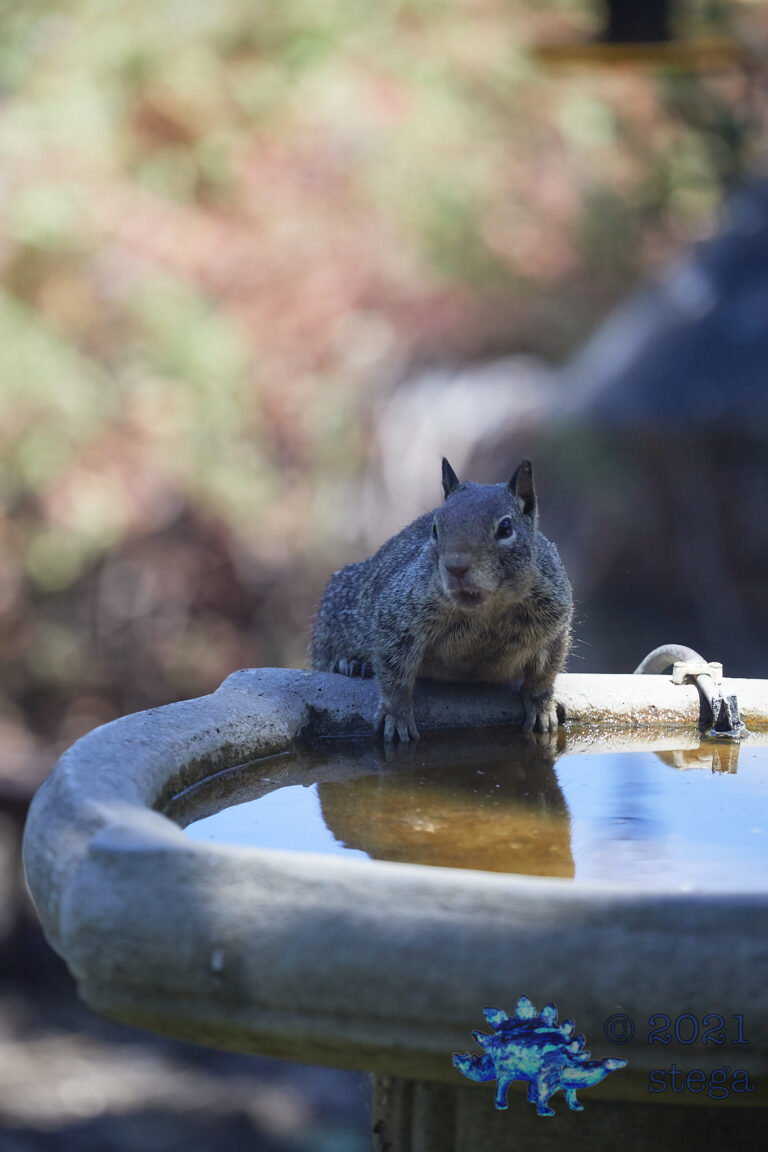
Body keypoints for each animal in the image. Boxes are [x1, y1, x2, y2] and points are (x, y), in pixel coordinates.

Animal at [311, 458, 572, 742]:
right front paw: (397, 716)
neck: (486, 610)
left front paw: (542, 707)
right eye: (435, 528)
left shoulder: (554, 625)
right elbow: (394, 673)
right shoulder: (397, 619)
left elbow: (544, 674)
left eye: (505, 528)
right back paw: (349, 663)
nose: (456, 567)